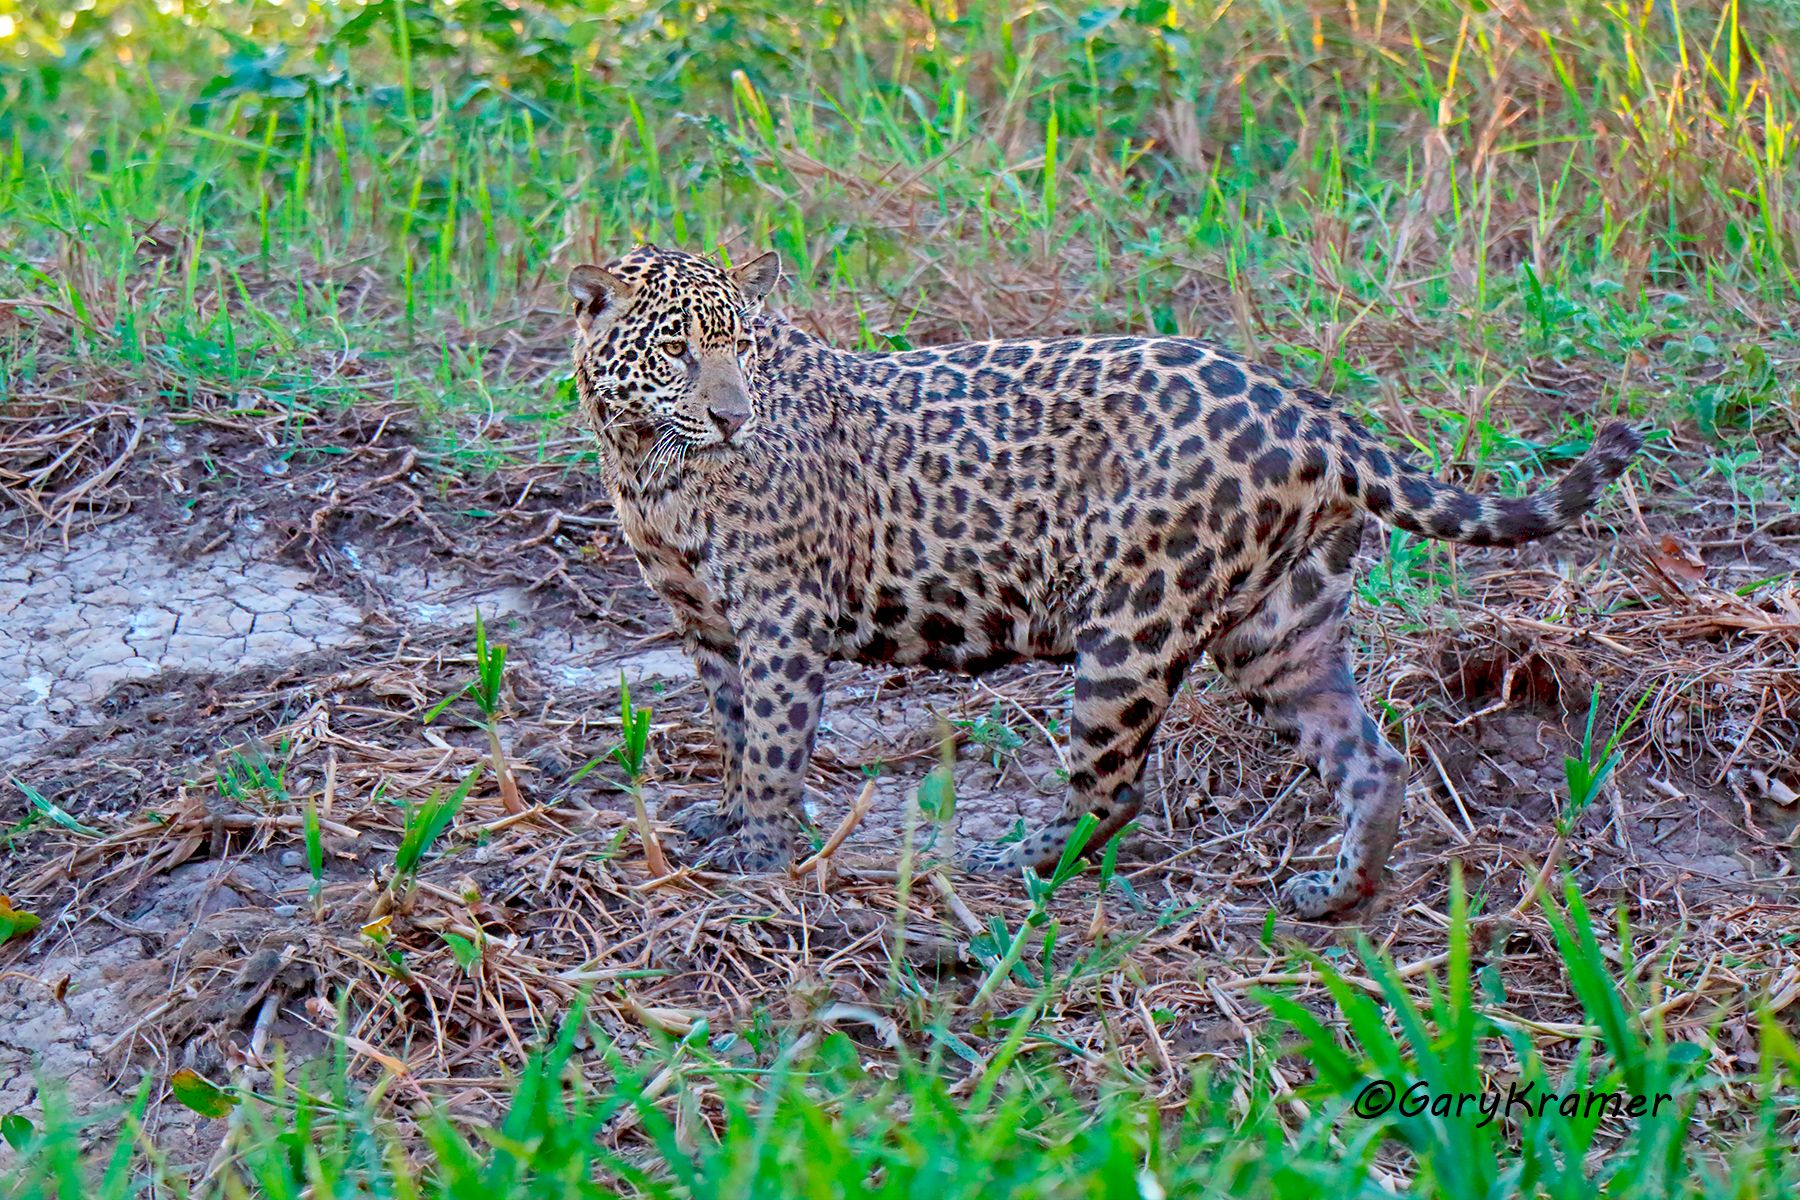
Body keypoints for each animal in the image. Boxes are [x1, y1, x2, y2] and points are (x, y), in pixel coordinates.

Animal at [567, 244, 1642, 918]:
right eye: (677, 350)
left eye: (741, 347)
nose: (733, 417)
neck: (647, 462)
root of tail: (1315, 415)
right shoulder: (707, 621)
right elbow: (734, 726)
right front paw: (727, 819)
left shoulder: (781, 615)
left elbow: (776, 740)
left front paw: (756, 850)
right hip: (1281, 632)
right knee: (1370, 760)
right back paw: (1332, 897)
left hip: (1133, 622)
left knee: (1115, 787)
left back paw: (1013, 862)